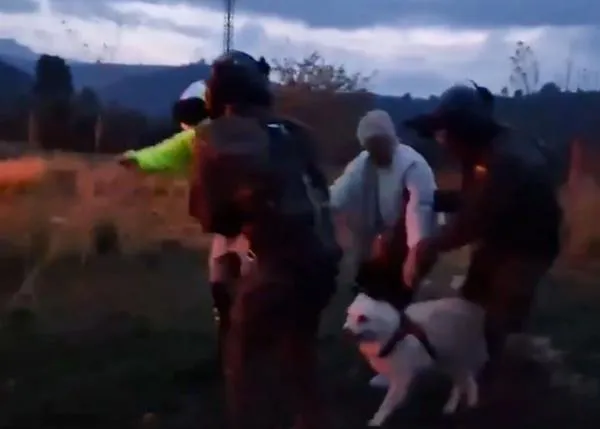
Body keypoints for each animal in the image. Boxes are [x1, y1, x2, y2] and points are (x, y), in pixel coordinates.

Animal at [342, 292, 488, 422]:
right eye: (349, 314)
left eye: (362, 318)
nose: (345, 331)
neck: (393, 336)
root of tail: (475, 310)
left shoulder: (401, 377)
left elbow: (387, 403)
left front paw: (377, 419)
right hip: (446, 359)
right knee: (467, 378)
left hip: (453, 358)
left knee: (462, 382)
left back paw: (456, 404)